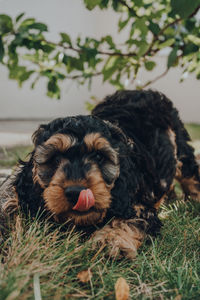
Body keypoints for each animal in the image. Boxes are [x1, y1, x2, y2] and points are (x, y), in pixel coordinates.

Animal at [0, 89, 199, 258]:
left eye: (98, 156)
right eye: (55, 158)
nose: (75, 192)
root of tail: (142, 91)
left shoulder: (137, 204)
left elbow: (126, 219)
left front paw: (110, 241)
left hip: (180, 144)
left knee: (190, 173)